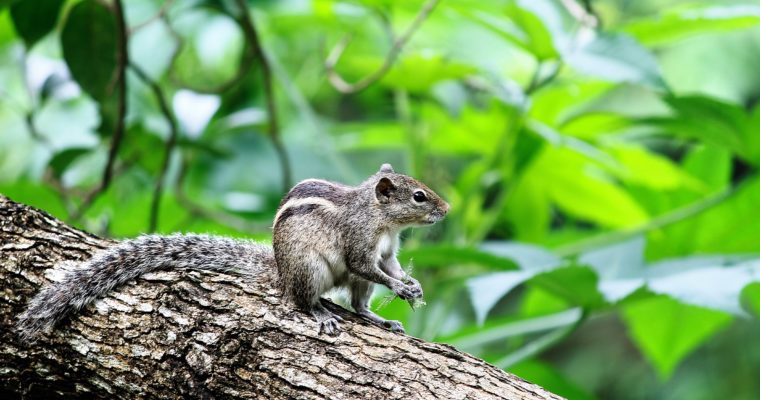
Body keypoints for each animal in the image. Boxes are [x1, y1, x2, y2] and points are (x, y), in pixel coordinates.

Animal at [16, 163, 449, 342]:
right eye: (419, 195)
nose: (446, 209)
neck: (383, 220)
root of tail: (281, 272)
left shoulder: (387, 251)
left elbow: (388, 268)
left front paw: (411, 284)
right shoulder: (360, 242)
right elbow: (367, 264)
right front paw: (404, 288)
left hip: (350, 284)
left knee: (359, 304)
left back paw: (380, 319)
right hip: (308, 268)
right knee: (303, 300)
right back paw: (322, 313)